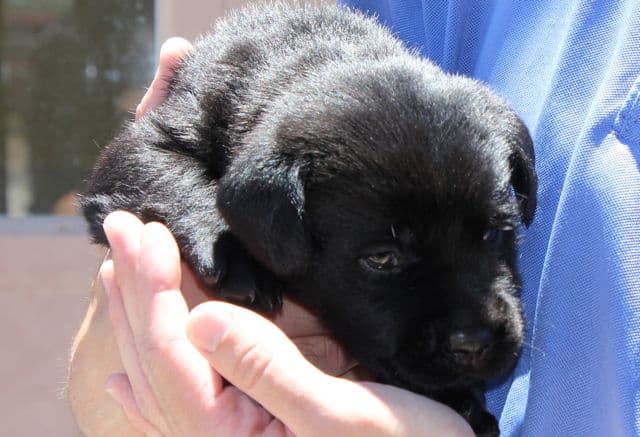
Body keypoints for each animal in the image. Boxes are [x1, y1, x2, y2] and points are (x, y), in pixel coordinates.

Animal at [82, 3, 536, 432]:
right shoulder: (143, 144)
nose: (474, 344)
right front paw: (235, 258)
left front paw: (464, 402)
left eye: (494, 233)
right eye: (382, 258)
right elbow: (173, 177)